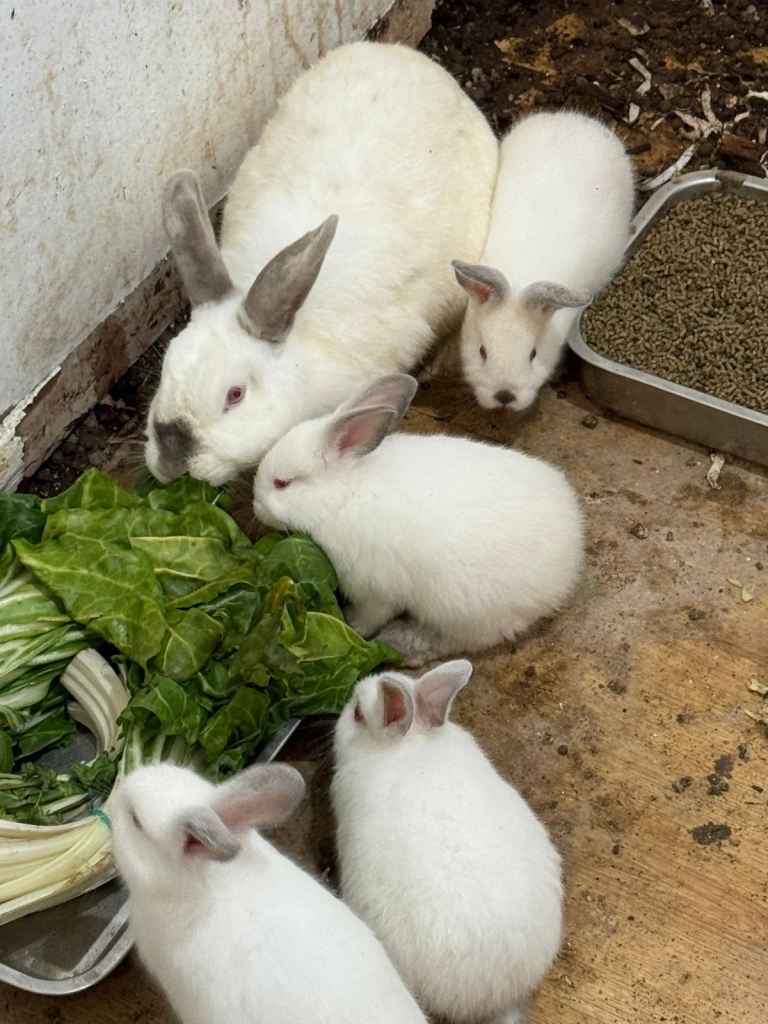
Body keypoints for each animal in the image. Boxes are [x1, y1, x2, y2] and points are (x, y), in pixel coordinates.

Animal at [252, 373, 583, 666]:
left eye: (282, 483)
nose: (256, 507)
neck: (343, 496)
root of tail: (572, 554)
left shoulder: (375, 591)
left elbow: (370, 615)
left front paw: (352, 625)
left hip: (466, 611)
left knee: (457, 640)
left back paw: (403, 643)